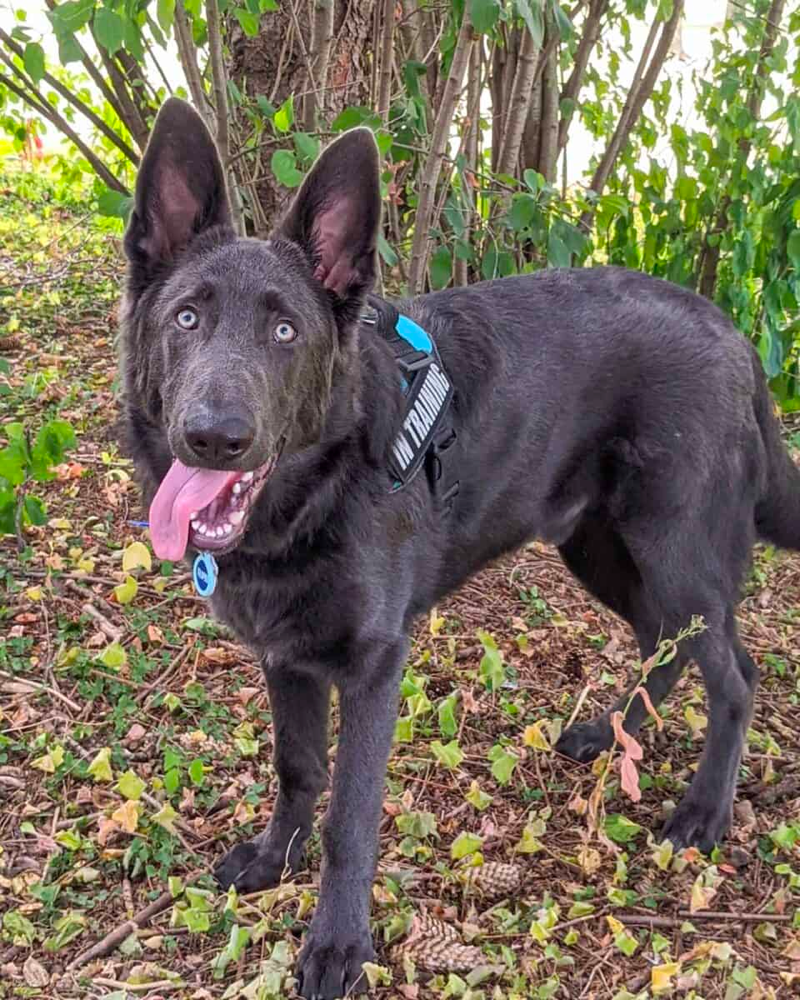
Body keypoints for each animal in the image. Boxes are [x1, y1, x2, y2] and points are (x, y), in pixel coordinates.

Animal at [120, 97, 800, 996]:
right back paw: (611, 734)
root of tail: (735, 336)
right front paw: (274, 859)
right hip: (602, 550)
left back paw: (703, 811)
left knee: (735, 675)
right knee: (667, 642)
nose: (212, 437)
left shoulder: (373, 667)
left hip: (673, 554)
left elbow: (350, 818)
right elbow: (298, 770)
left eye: (285, 331)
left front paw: (338, 944)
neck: (321, 487)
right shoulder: (286, 657)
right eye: (187, 318)